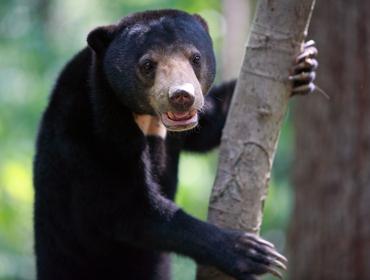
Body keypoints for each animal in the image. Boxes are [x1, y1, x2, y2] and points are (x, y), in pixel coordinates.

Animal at [33, 8, 318, 280]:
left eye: (196, 58)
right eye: (148, 64)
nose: (182, 96)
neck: (147, 118)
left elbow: (209, 126)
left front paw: (304, 65)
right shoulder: (89, 129)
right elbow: (127, 208)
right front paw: (251, 253)